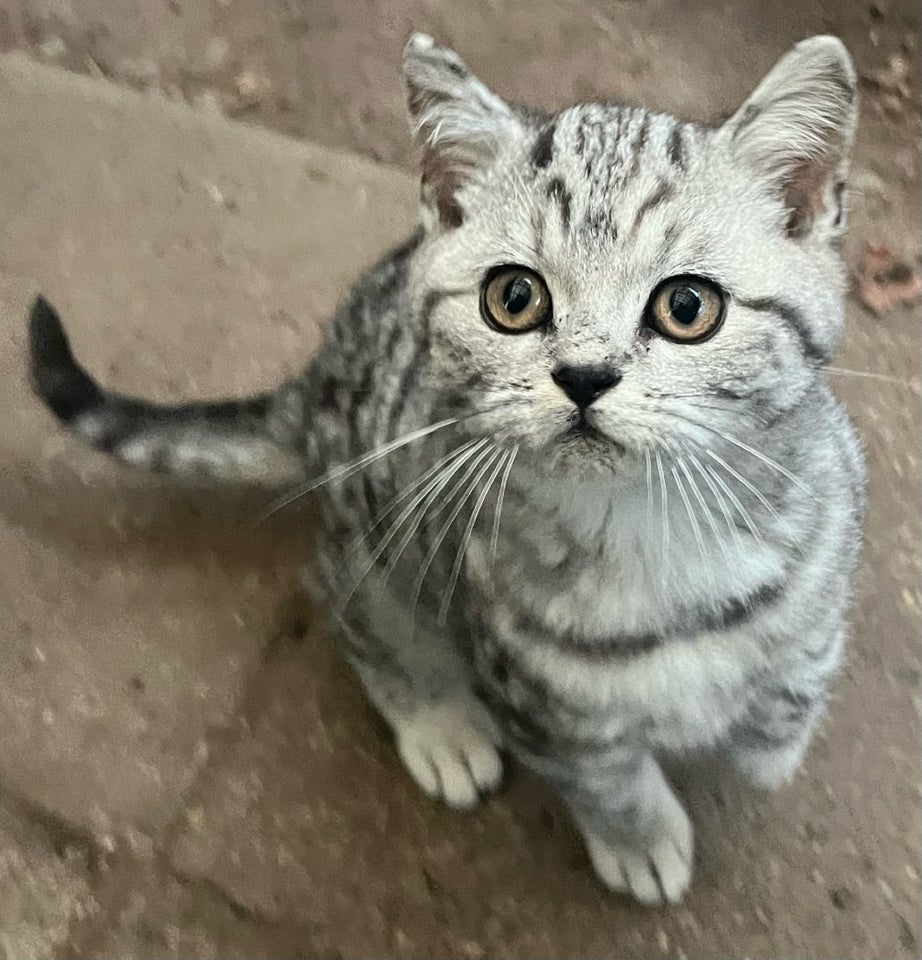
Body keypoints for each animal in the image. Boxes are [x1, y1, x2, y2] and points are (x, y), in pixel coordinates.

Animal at [28, 28, 864, 900]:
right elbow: (606, 776)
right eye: (515, 298)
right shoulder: (535, 703)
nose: (585, 376)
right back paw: (436, 720)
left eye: (688, 307)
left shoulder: (831, 528)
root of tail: (317, 384)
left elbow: (803, 669)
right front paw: (639, 837)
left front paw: (771, 741)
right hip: (374, 538)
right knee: (347, 602)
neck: (653, 536)